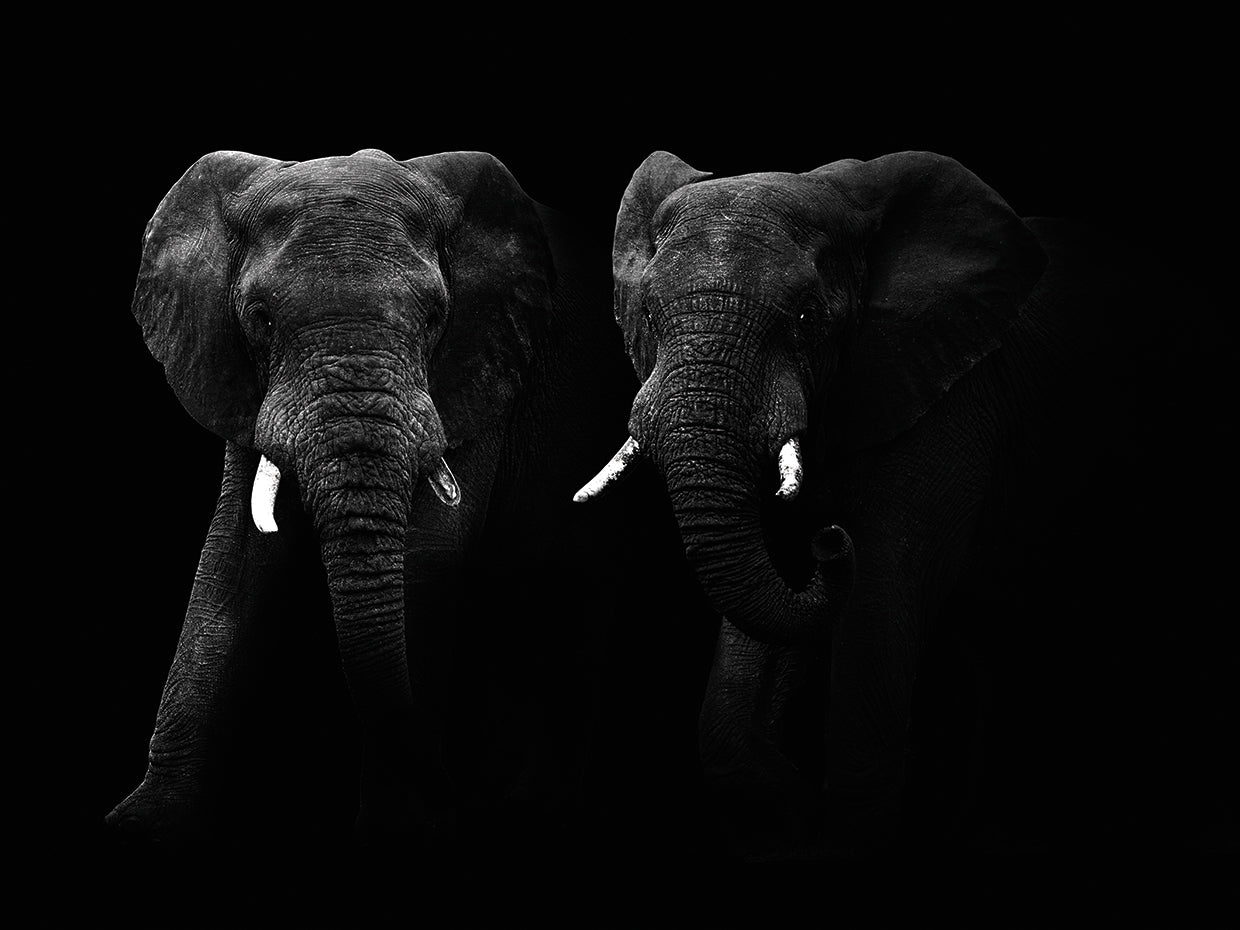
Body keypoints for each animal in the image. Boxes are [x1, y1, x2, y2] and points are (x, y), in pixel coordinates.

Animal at [105, 147, 640, 851]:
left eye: (435, 317)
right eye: (260, 319)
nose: (444, 791)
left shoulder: (480, 366)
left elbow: (427, 557)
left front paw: (404, 829)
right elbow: (232, 566)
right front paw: (143, 827)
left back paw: (533, 812)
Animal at [575, 149, 1163, 857]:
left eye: (806, 319)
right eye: (648, 318)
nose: (829, 539)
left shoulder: (947, 404)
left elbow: (871, 646)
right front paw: (792, 805)